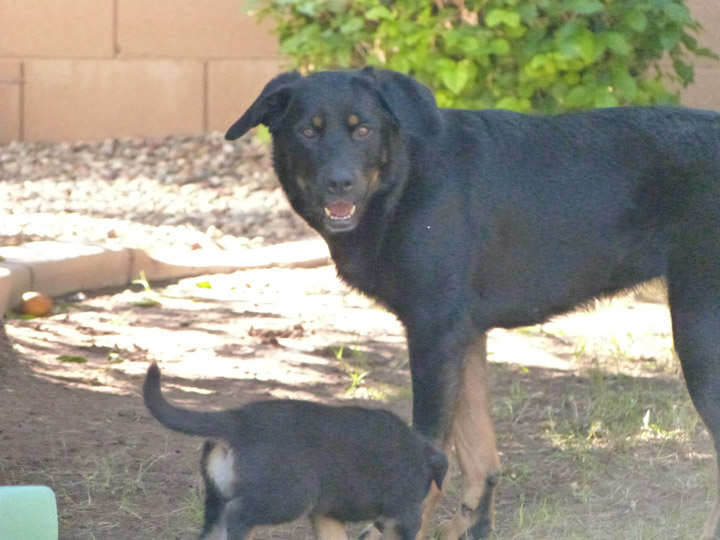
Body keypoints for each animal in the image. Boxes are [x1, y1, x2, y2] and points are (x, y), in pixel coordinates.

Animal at [142, 362, 444, 540]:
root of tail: (237, 420)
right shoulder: (403, 515)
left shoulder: (326, 514)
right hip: (287, 497)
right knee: (239, 516)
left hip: (217, 501)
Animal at [228, 68, 720, 540]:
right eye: (307, 133)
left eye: (363, 129)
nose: (339, 184)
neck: (404, 180)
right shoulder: (464, 335)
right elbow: (477, 453)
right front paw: (471, 526)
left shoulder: (433, 333)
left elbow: (430, 451)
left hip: (698, 335)